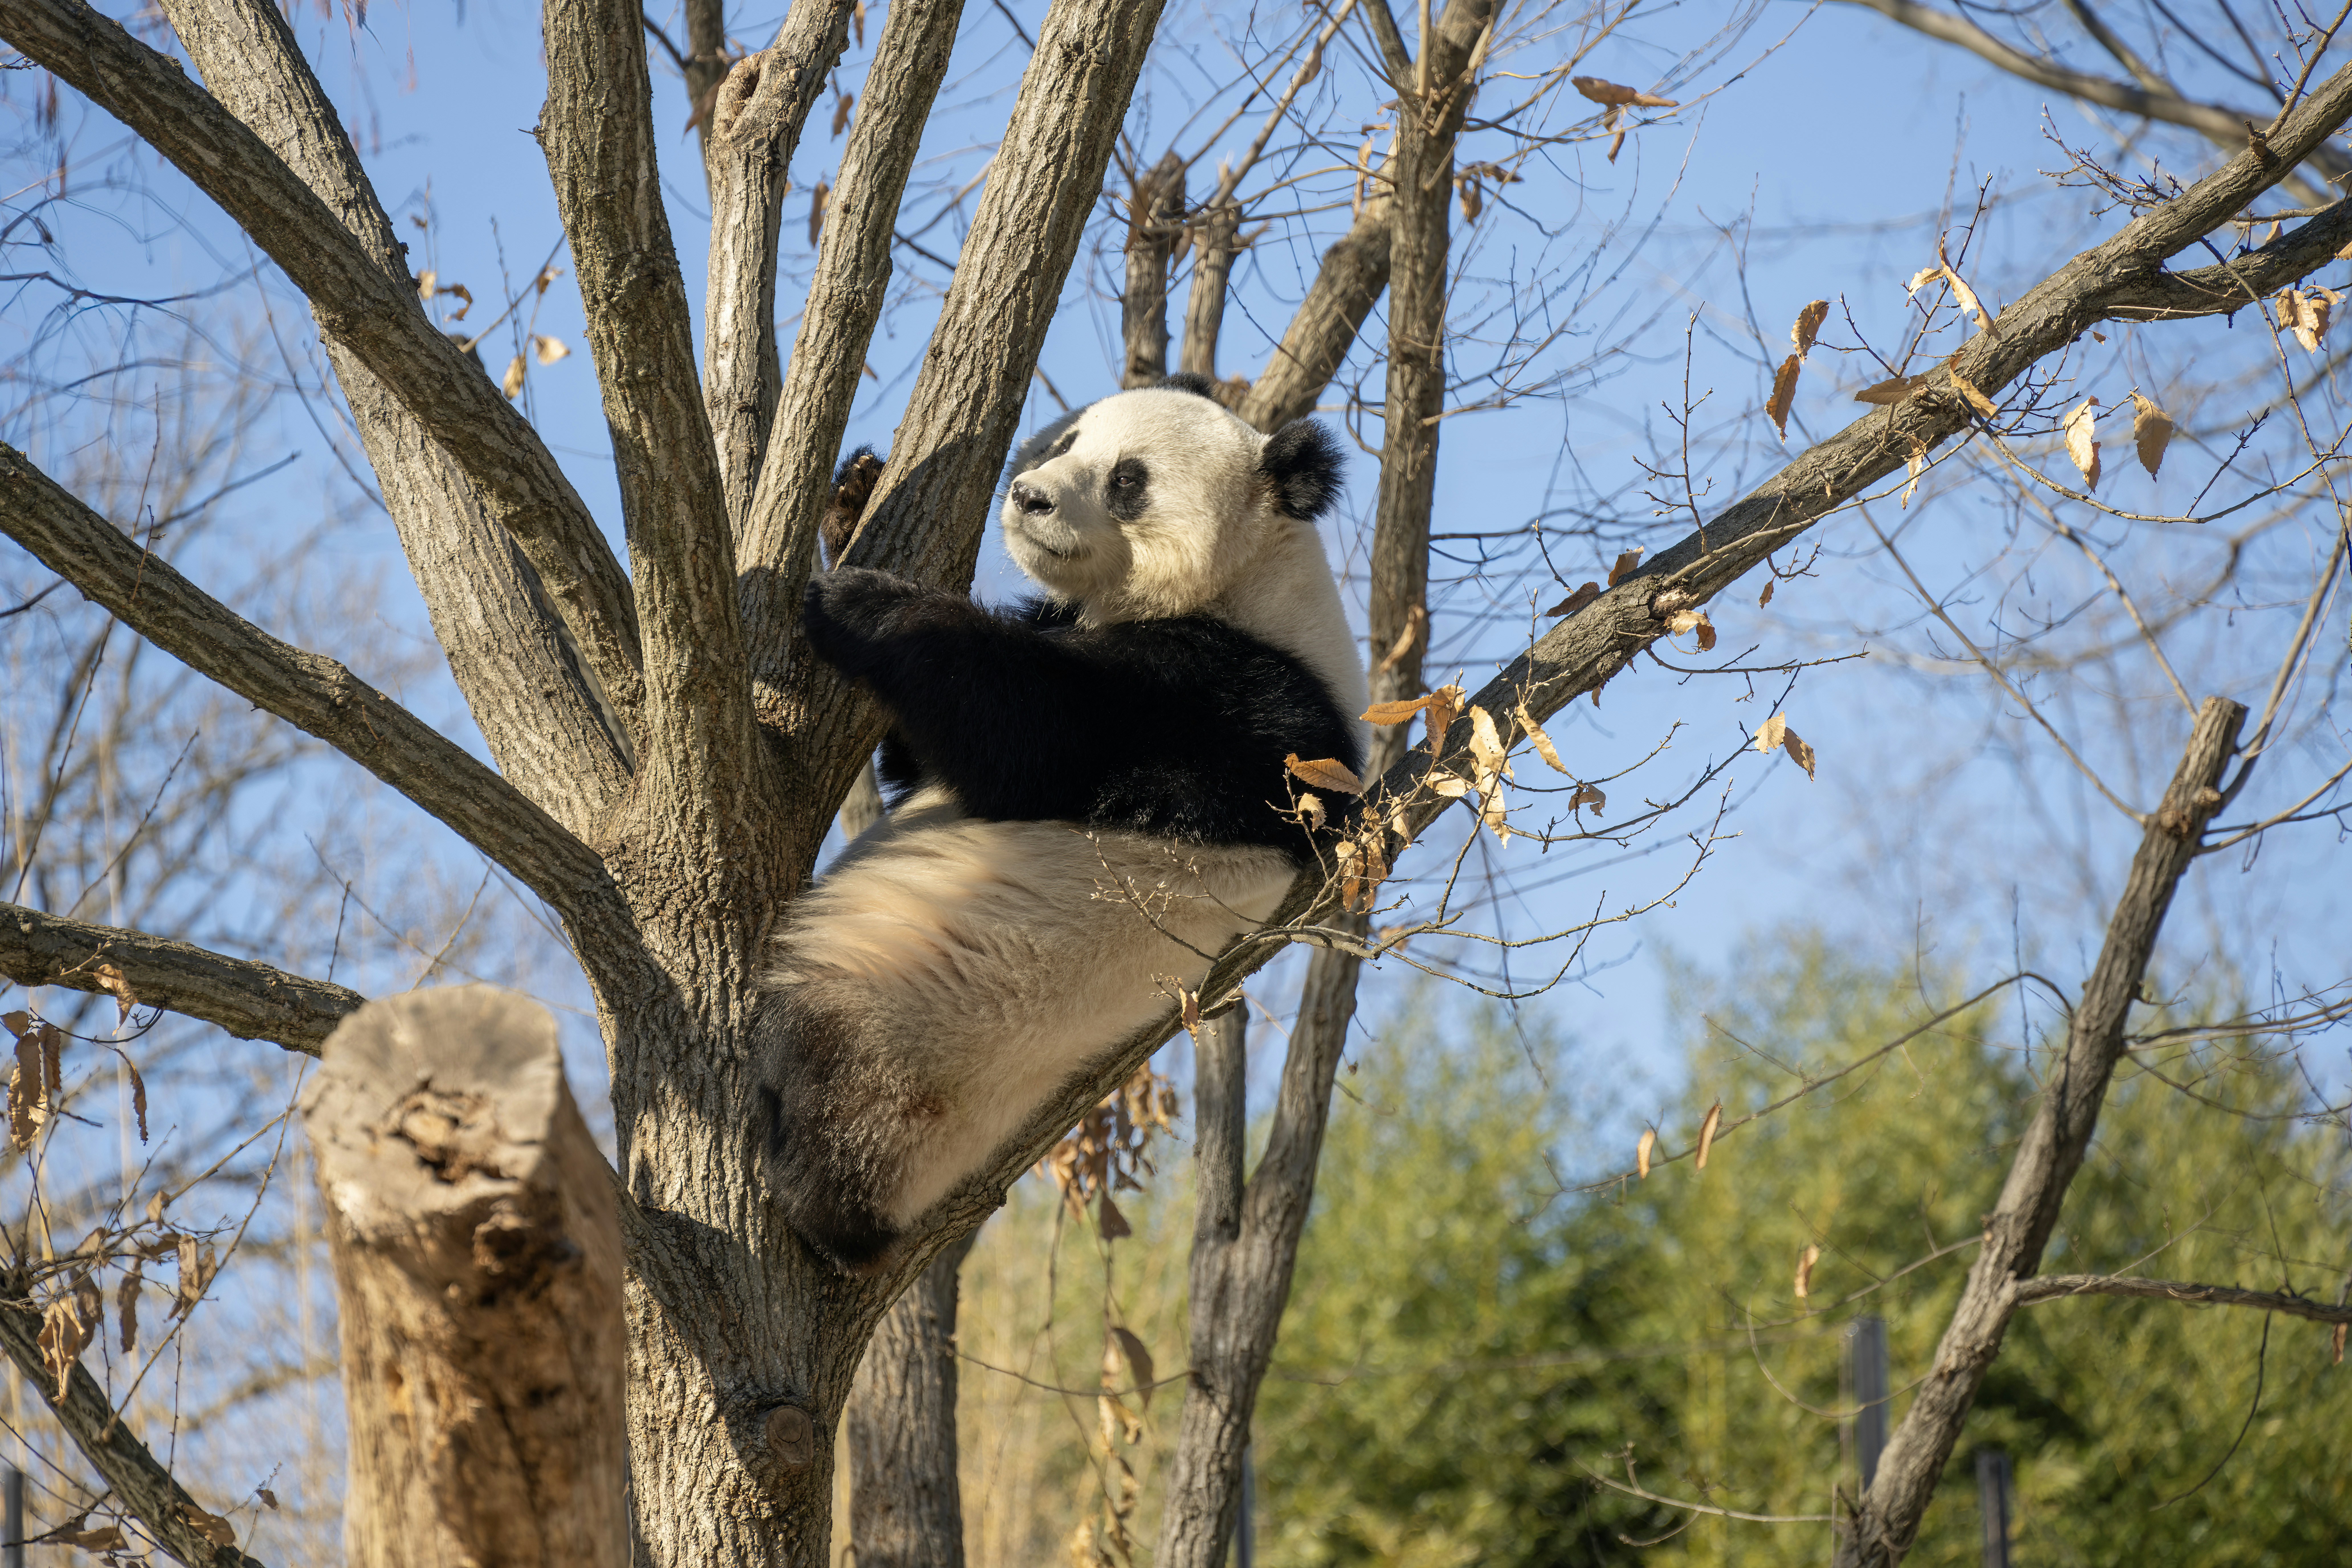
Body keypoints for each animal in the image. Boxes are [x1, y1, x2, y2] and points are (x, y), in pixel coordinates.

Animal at [751, 374, 1367, 1276]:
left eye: (1128, 480)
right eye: (1066, 440)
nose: (1029, 497)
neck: (1257, 575)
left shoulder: (1249, 705)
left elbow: (1023, 734)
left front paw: (862, 602)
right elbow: (919, 763)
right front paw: (855, 495)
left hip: (914, 1037)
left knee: (835, 1083)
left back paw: (806, 1179)